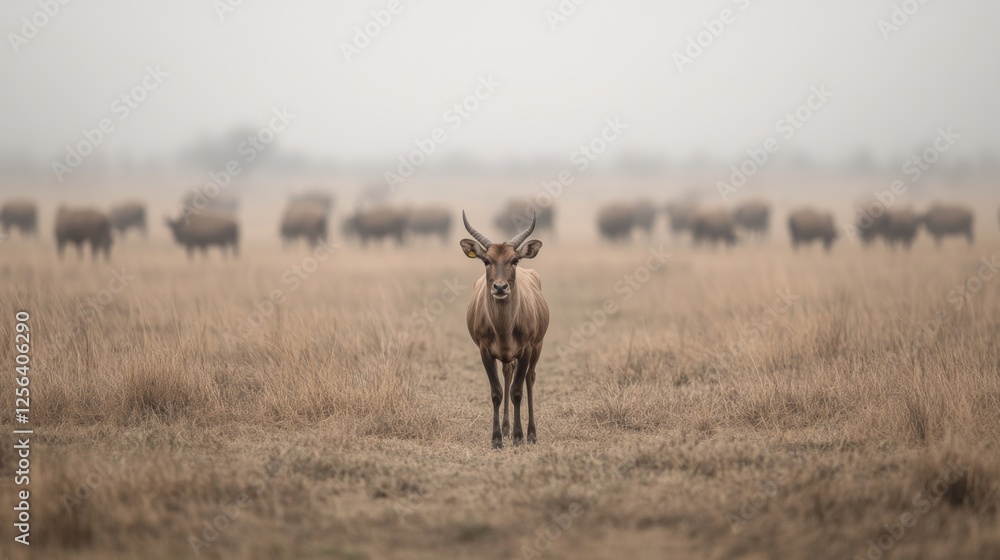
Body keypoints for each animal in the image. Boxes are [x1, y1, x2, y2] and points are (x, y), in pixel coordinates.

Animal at [461, 211, 549, 449]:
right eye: (486, 260)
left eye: (515, 259)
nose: (500, 287)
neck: (503, 330)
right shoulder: (485, 352)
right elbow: (497, 392)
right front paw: (497, 438)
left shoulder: (526, 349)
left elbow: (517, 391)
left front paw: (519, 437)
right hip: (507, 356)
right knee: (508, 373)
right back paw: (507, 429)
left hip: (537, 348)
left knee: (529, 378)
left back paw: (531, 434)